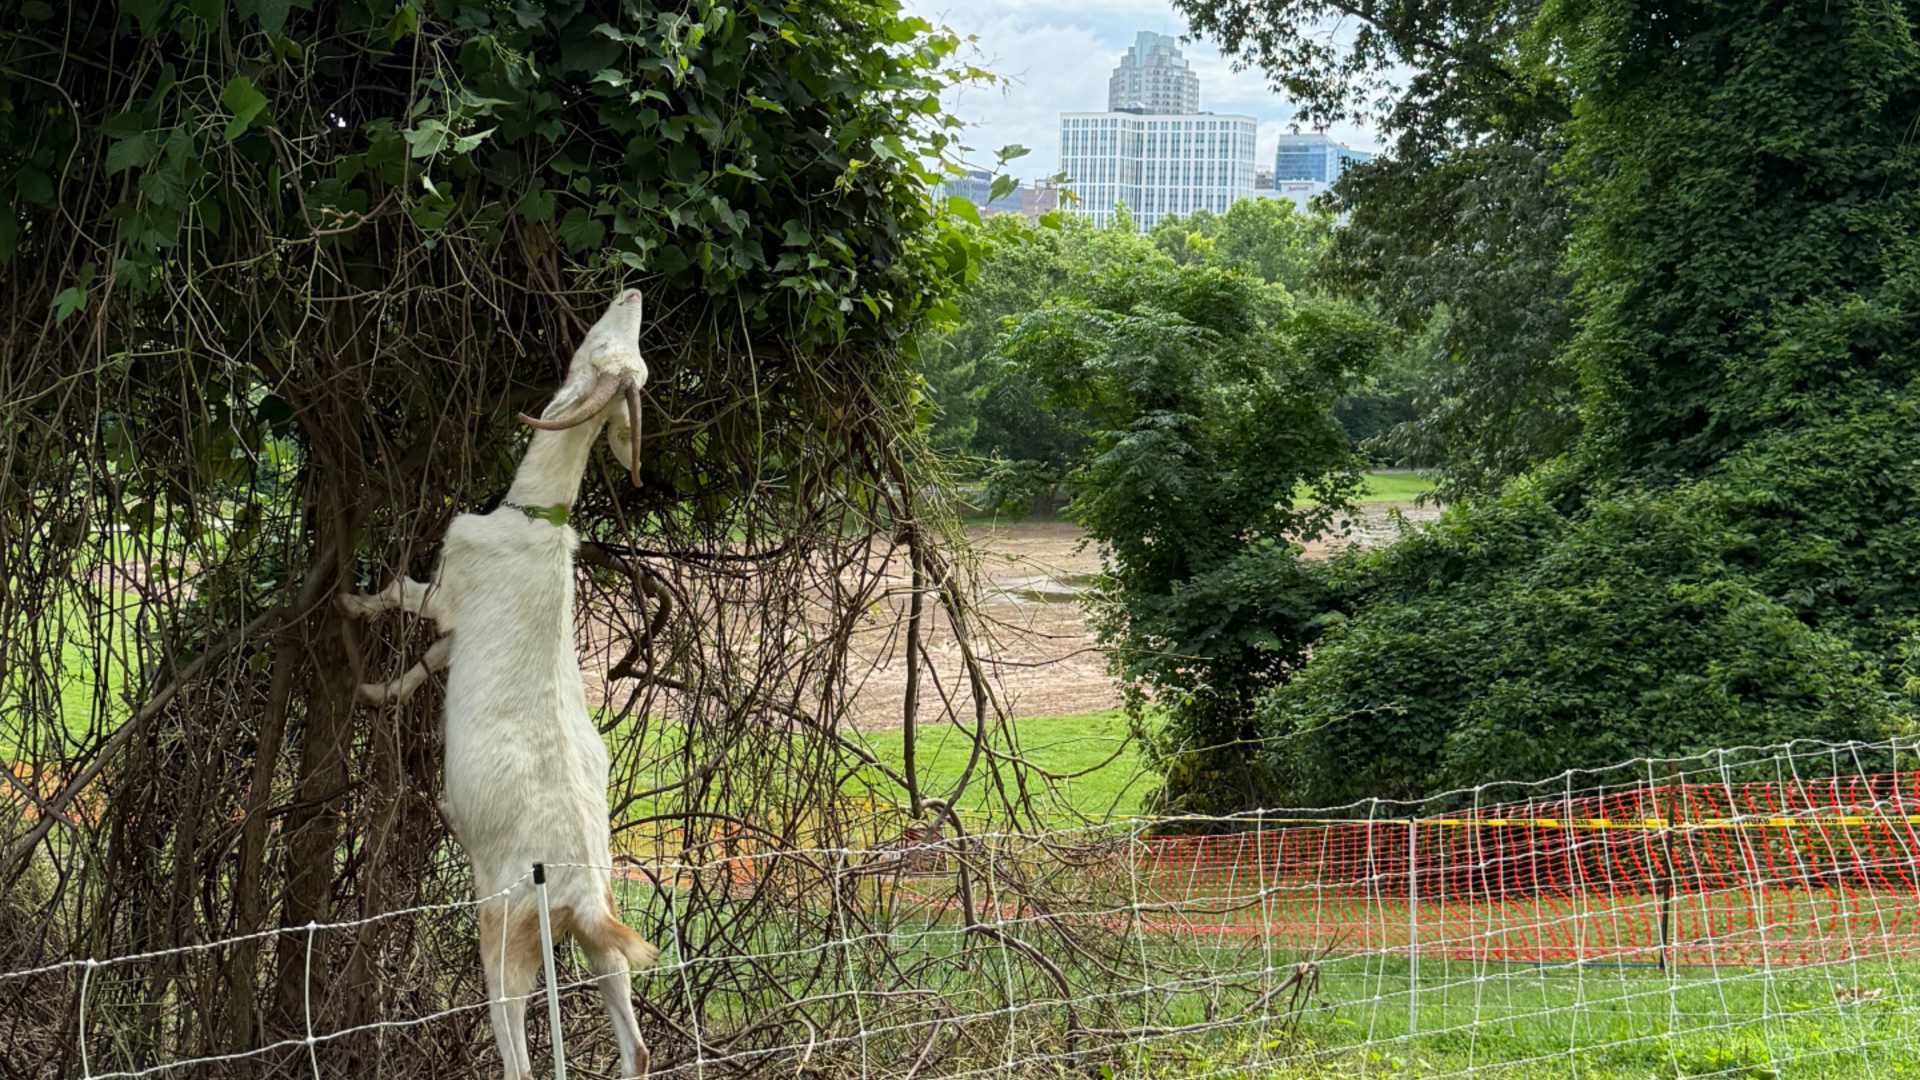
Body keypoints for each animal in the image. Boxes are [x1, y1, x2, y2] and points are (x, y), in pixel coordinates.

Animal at [337, 290, 657, 1079]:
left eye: (598, 350)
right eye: (621, 354)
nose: (631, 293)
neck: (533, 523)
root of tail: (579, 896)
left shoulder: (448, 591)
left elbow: (400, 593)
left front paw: (349, 605)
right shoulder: (455, 634)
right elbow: (428, 664)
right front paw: (376, 695)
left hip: (505, 925)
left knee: (515, 1046)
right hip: (602, 944)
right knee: (635, 1043)